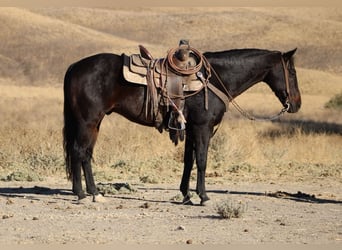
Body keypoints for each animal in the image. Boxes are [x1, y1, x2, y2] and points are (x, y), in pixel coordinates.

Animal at [62, 47, 300, 203]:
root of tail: (75, 66)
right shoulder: (203, 127)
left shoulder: (192, 128)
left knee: (86, 154)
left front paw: (186, 195)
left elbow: (188, 160)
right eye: (293, 72)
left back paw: (93, 192)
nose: (296, 104)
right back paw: (83, 194)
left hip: (95, 123)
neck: (213, 79)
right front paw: (203, 196)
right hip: (88, 121)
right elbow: (202, 160)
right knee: (79, 151)